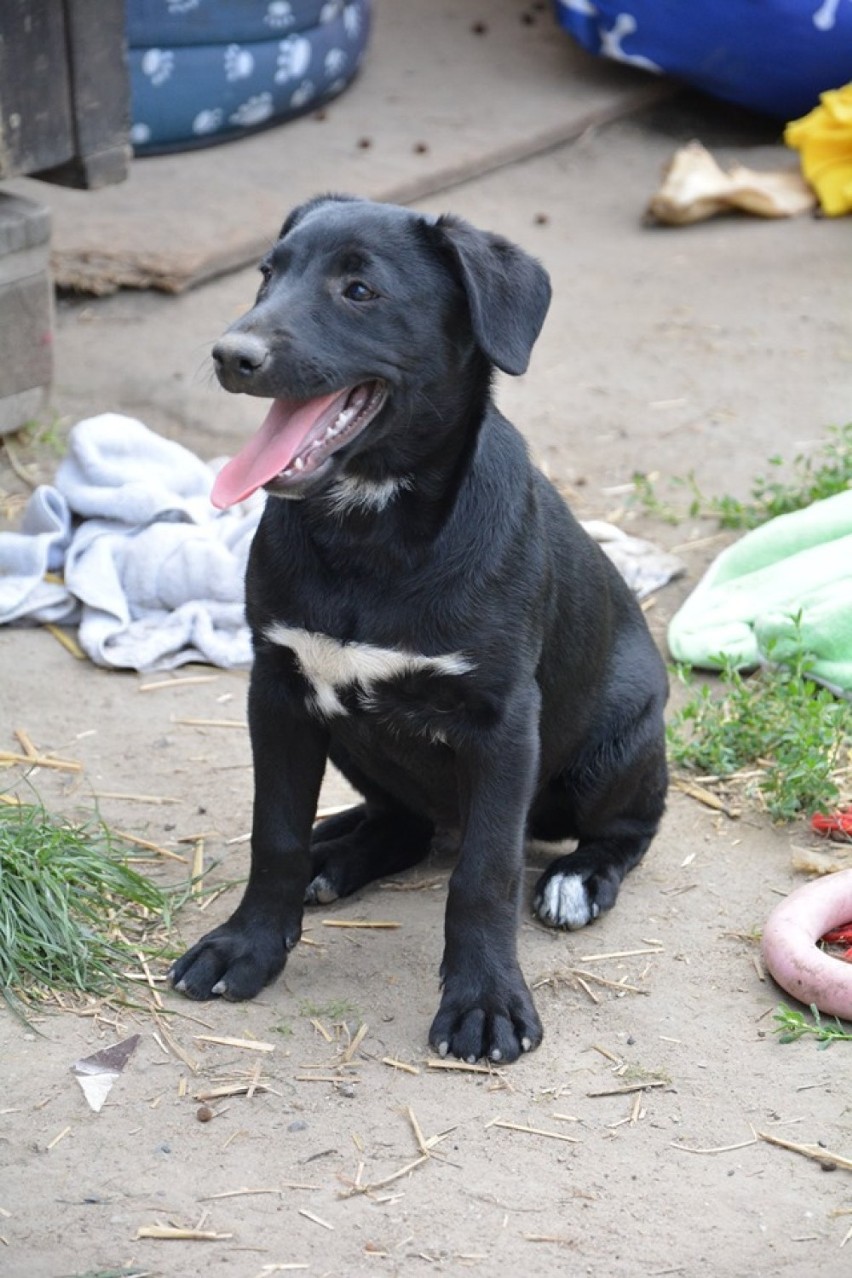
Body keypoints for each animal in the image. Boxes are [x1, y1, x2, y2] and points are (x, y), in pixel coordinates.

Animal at [169, 194, 669, 1063]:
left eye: (360, 291)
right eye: (268, 274)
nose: (232, 354)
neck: (369, 527)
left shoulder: (504, 725)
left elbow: (485, 875)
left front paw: (485, 1002)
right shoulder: (279, 691)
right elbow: (275, 833)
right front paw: (249, 946)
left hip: (616, 746)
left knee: (629, 826)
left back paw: (580, 878)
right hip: (351, 736)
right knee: (401, 822)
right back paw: (336, 850)